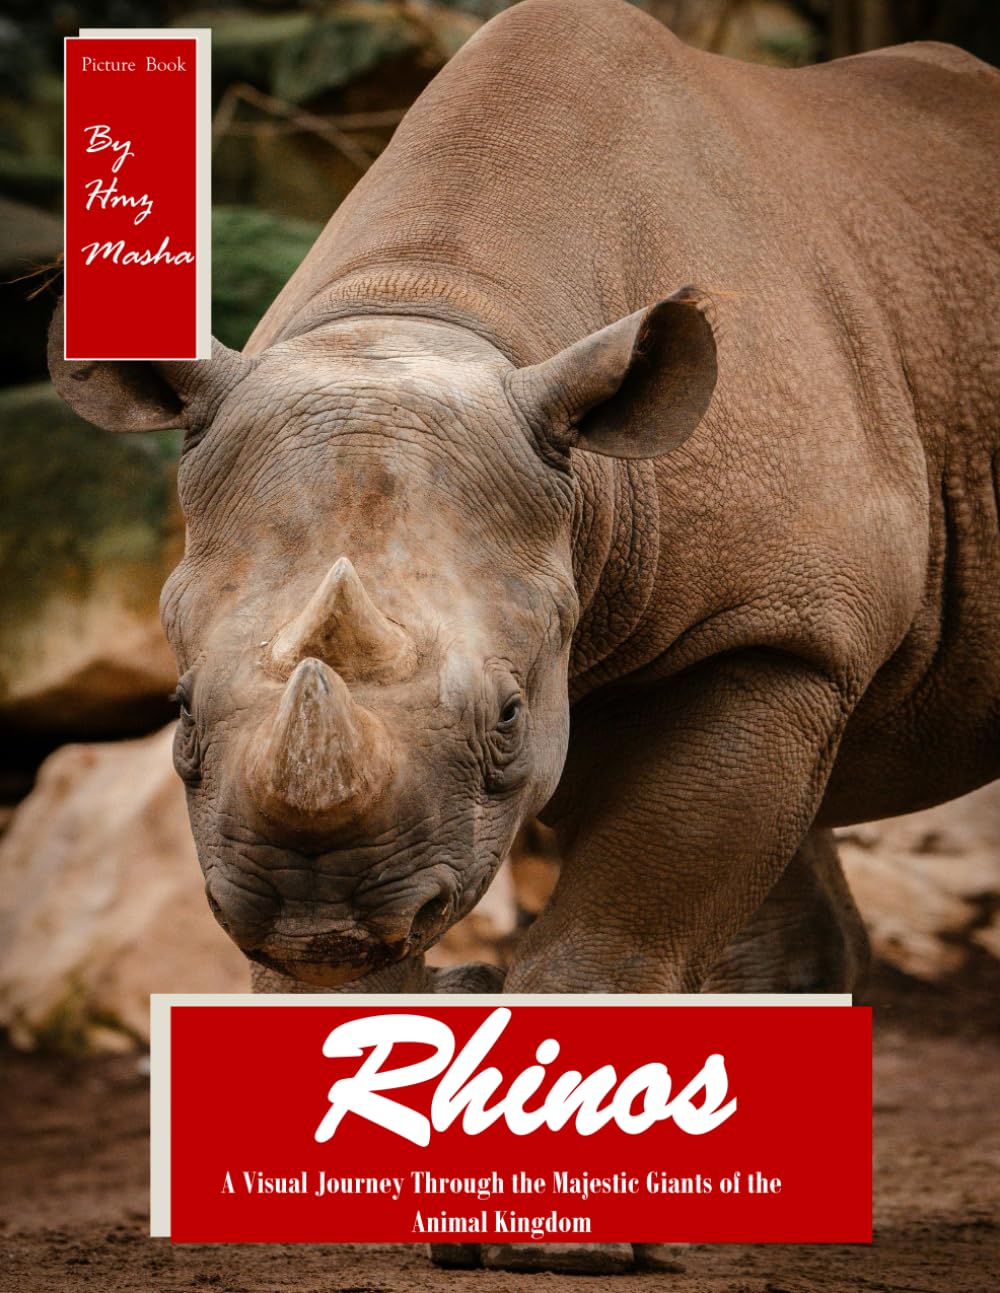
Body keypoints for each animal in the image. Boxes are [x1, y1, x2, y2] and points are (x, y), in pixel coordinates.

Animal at [50, 0, 999, 1010]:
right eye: (181, 709)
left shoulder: (784, 632)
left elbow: (607, 950)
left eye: (507, 714)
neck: (434, 305)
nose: (316, 918)